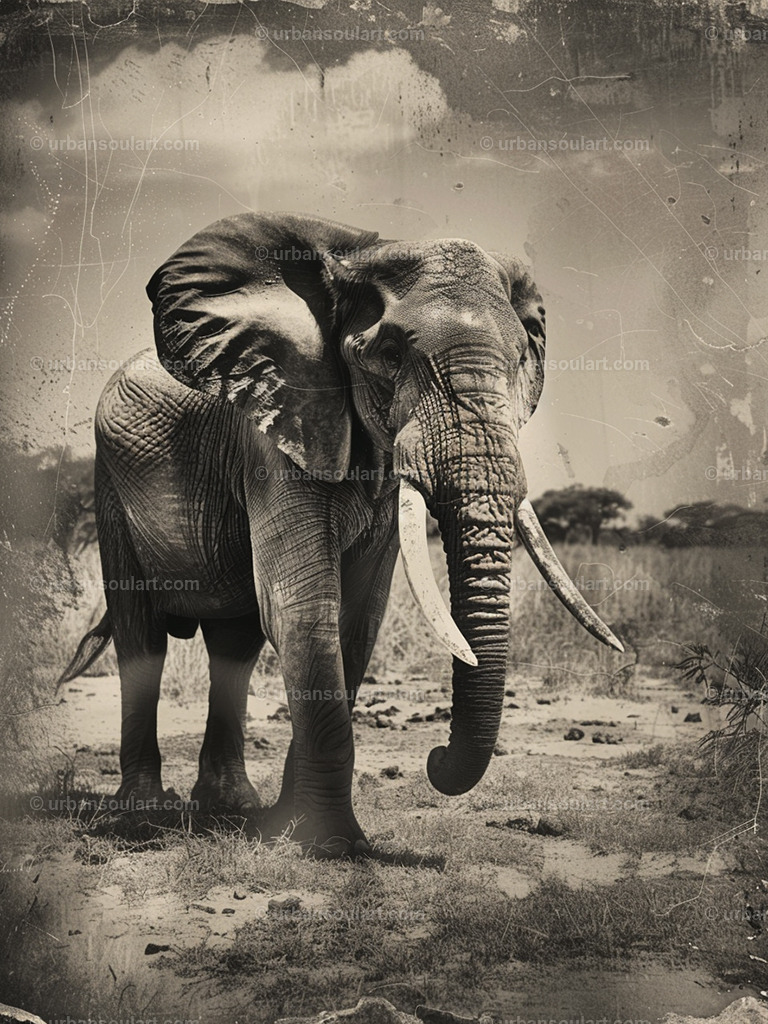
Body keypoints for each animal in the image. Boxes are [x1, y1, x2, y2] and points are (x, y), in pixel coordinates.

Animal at [60, 212, 623, 859]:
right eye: (391, 354)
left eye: (521, 359)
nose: (434, 758)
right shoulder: (277, 433)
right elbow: (303, 609)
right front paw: (331, 845)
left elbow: (357, 619)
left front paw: (295, 829)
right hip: (109, 483)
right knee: (141, 635)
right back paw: (144, 817)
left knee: (234, 647)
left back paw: (232, 807)